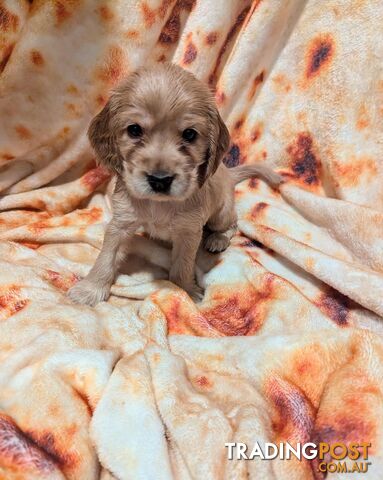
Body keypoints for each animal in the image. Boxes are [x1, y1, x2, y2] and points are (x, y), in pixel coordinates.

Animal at [68, 62, 282, 304]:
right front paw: (90, 288)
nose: (159, 180)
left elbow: (182, 265)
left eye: (189, 134)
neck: (159, 204)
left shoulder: (188, 232)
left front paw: (185, 291)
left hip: (221, 214)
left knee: (233, 224)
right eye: (134, 130)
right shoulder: (121, 222)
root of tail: (227, 173)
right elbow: (106, 257)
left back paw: (217, 239)